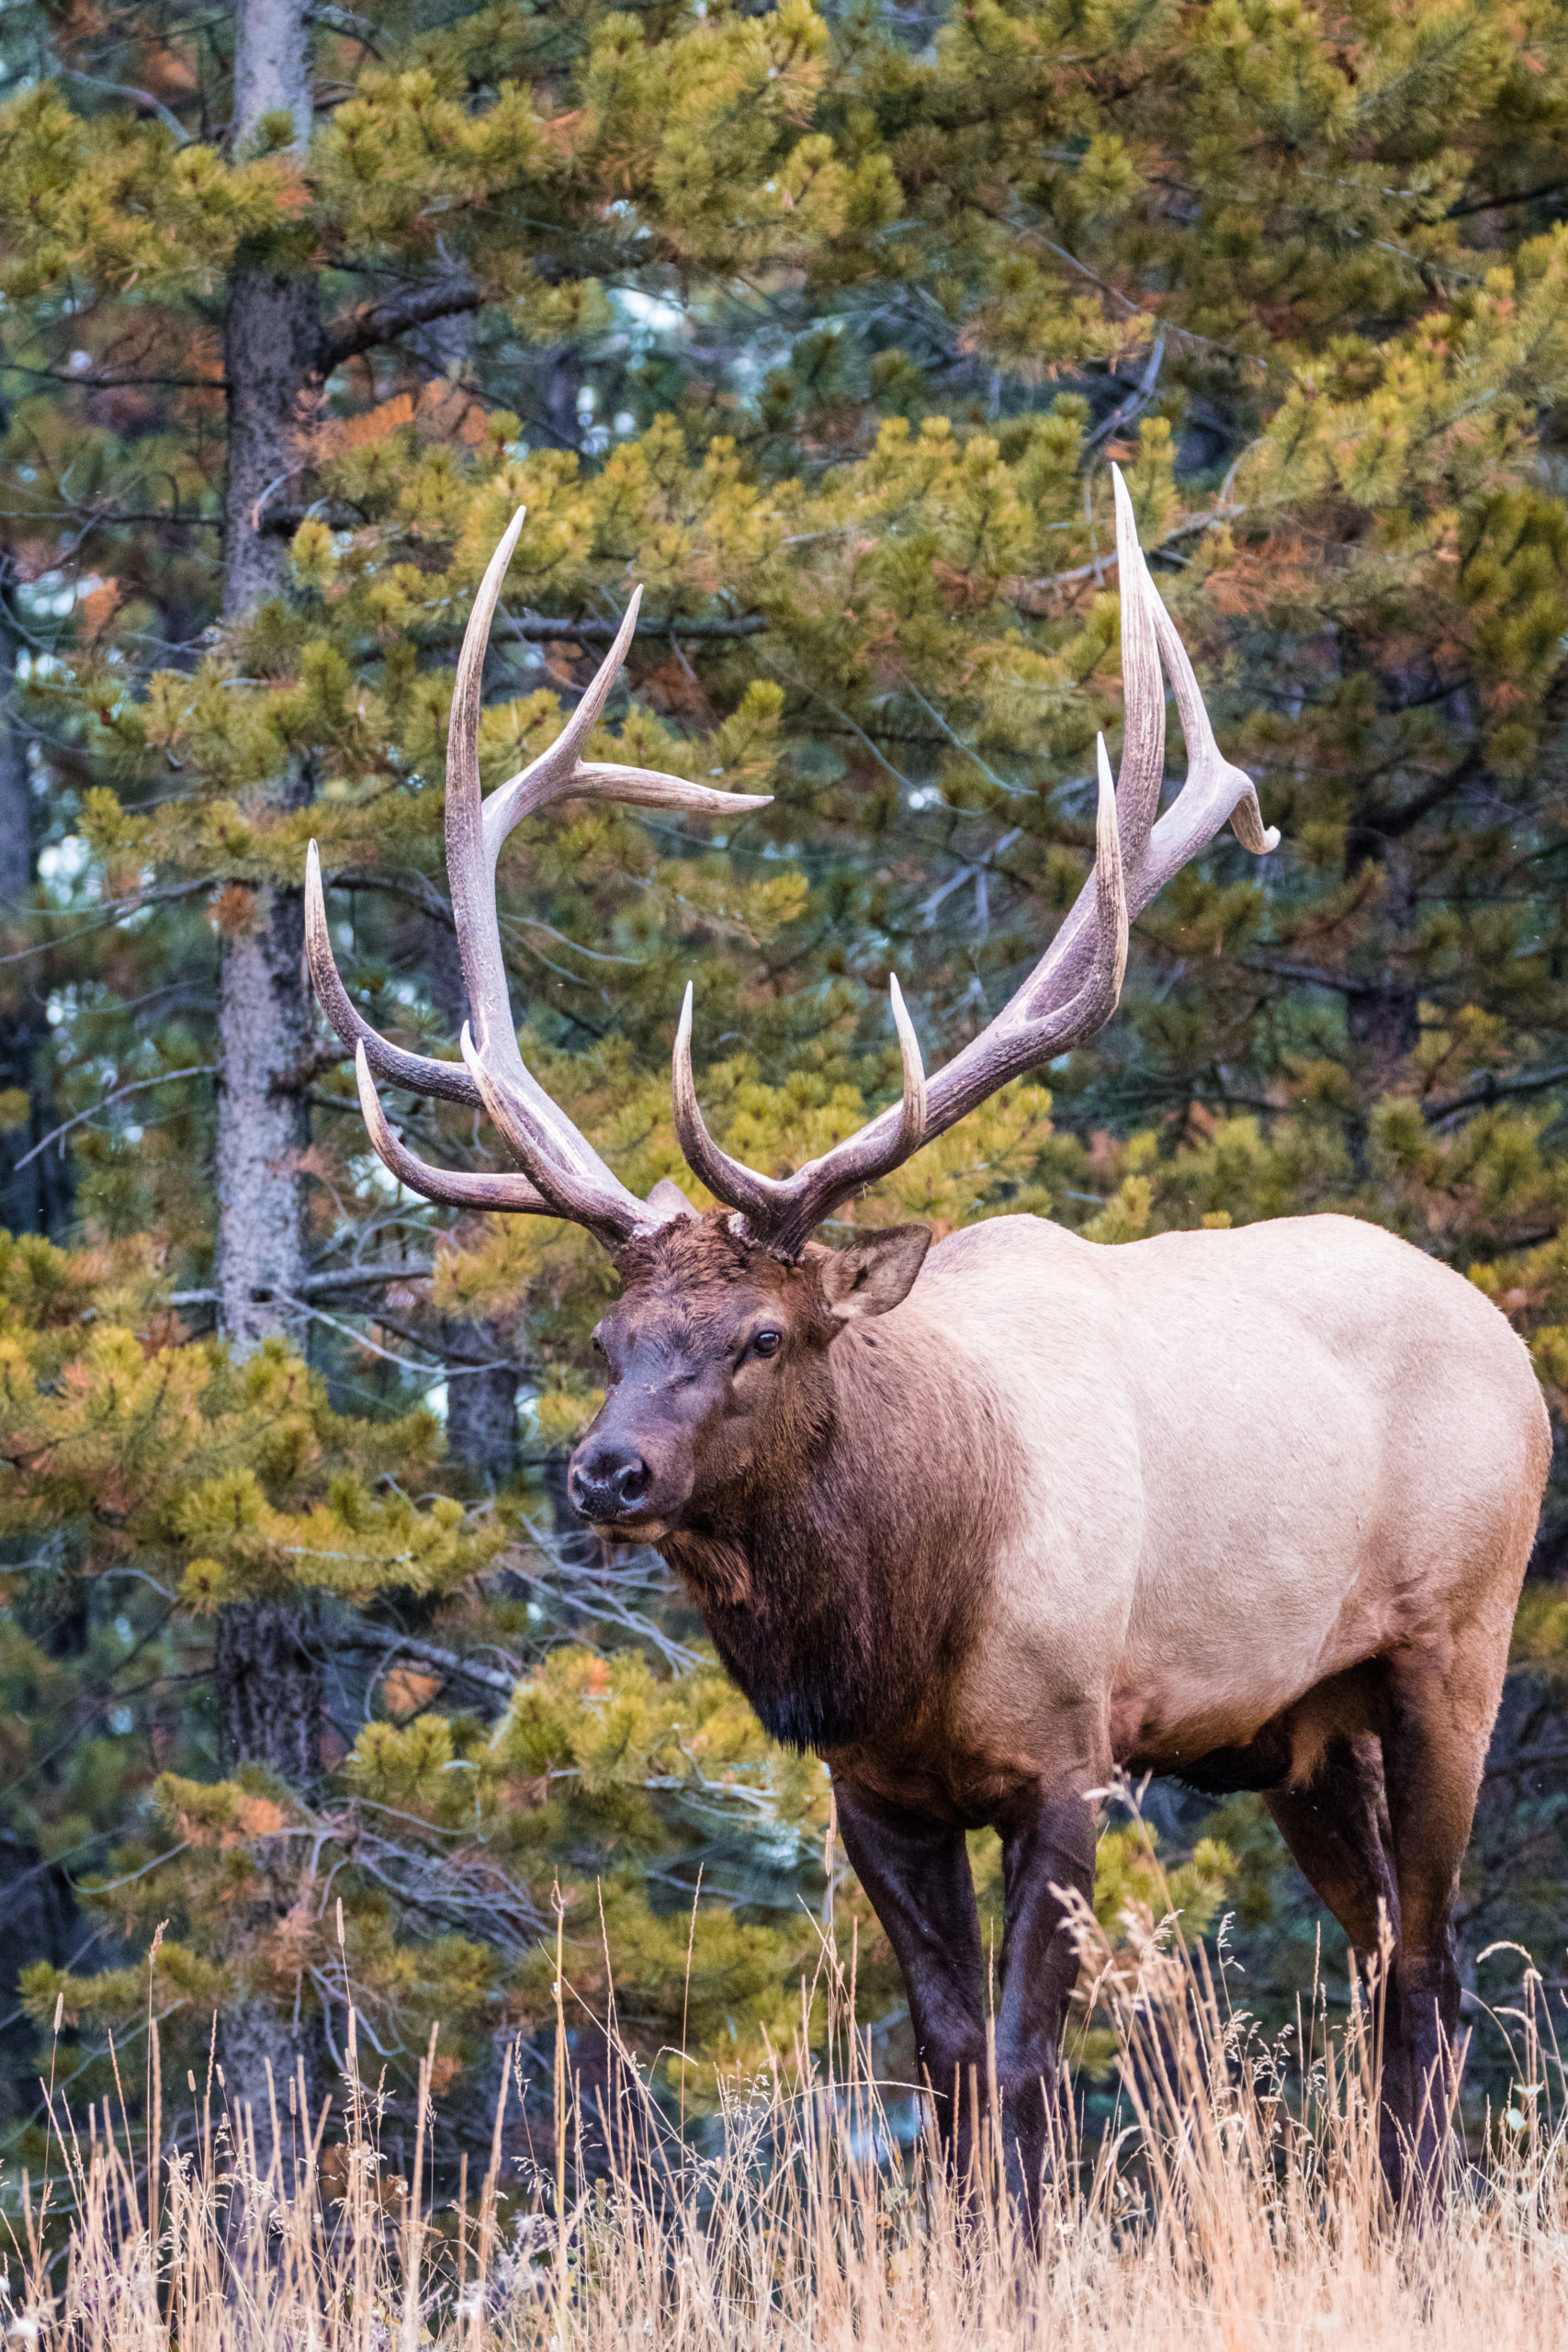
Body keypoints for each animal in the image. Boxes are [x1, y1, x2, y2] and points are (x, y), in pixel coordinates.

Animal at [303, 472, 1541, 2201]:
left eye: (764, 1334)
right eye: (611, 1334)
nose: (606, 1472)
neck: (903, 1619)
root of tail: (1497, 1331)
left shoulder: (1076, 1752)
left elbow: (1023, 2065)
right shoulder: (873, 1791)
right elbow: (946, 2064)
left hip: (1451, 1652)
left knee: (1426, 1969)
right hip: (1299, 1729)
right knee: (1381, 1964)